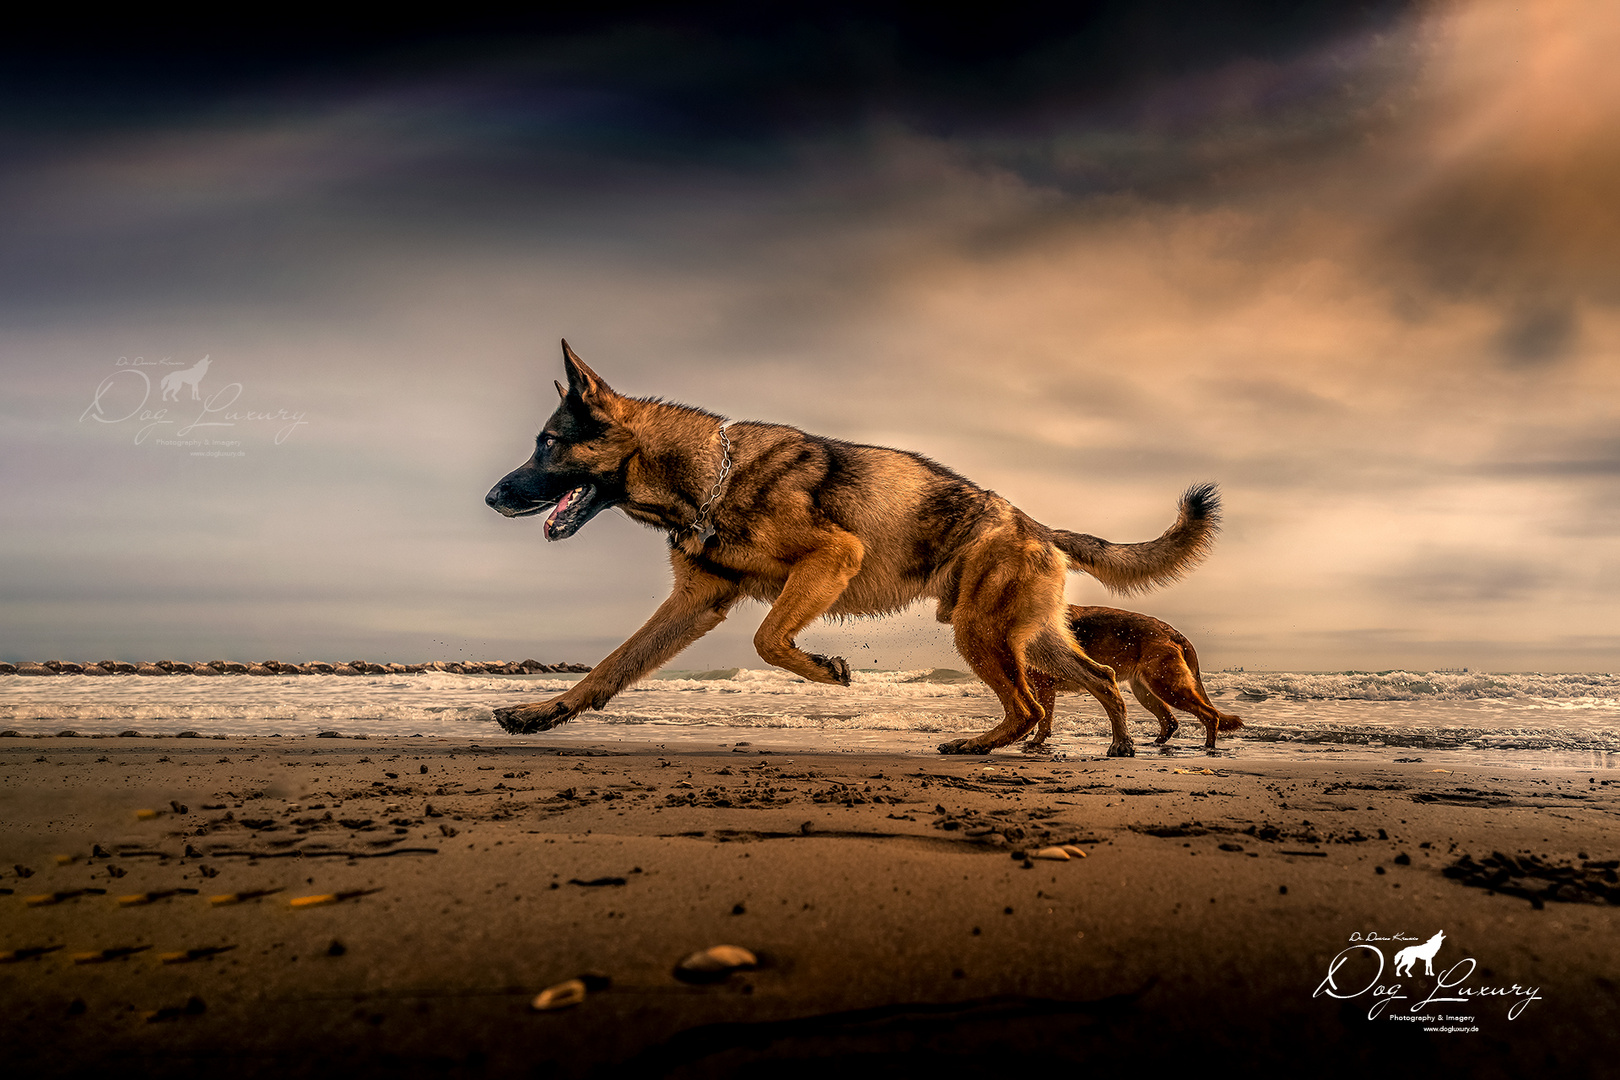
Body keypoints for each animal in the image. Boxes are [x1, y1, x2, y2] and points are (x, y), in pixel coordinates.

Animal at [486, 341, 1218, 757]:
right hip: (1026, 636)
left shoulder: (832, 558)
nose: (492, 496)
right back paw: (1116, 745)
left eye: (548, 444)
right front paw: (543, 712)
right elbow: (609, 668)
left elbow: (768, 640)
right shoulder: (694, 605)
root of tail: (1035, 524)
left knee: (1032, 706)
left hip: (982, 630)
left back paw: (978, 745)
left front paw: (827, 667)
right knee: (1097, 680)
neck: (708, 475)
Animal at [1030, 608, 1244, 751]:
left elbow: (1044, 720)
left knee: (1210, 714)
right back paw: (1154, 744)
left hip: (1167, 687)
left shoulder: (1044, 686)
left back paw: (1208, 747)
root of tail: (1173, 632)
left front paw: (1035, 742)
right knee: (1170, 721)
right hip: (1146, 692)